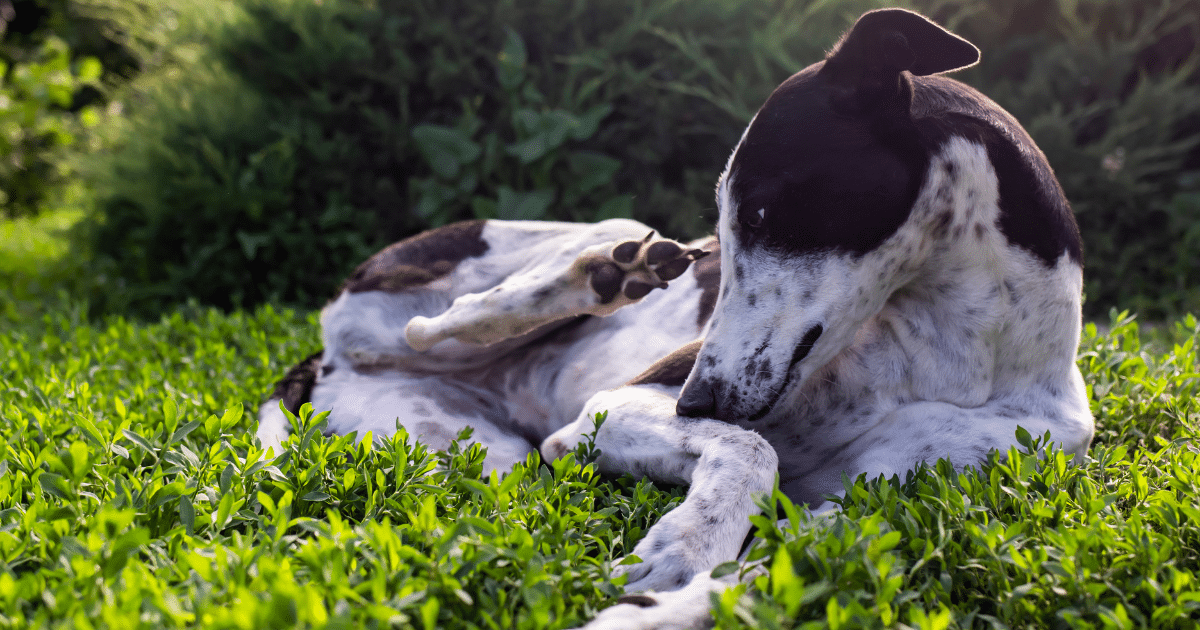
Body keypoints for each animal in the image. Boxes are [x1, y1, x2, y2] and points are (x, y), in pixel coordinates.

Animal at [255, 7, 1099, 624]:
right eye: (728, 220)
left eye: (758, 210)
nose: (697, 400)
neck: (955, 354)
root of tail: (320, 364)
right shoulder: (606, 412)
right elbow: (752, 450)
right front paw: (685, 546)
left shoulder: (869, 509)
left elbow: (769, 571)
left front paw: (659, 601)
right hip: (447, 305)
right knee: (426, 321)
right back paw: (600, 276)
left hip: (480, 454)